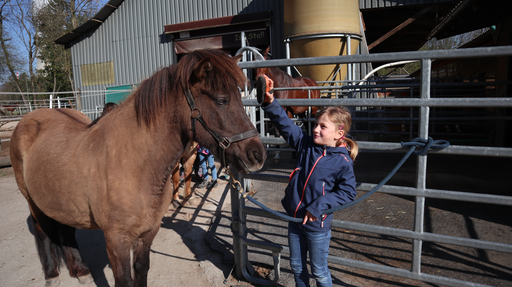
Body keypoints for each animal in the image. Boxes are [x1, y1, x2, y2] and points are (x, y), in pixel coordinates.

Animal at [10, 49, 266, 287]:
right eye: (221, 100)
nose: (257, 155)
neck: (134, 163)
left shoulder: (148, 232)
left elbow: (141, 271)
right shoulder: (116, 240)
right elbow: (123, 280)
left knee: (65, 231)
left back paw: (80, 271)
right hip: (33, 201)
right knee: (42, 230)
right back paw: (51, 274)